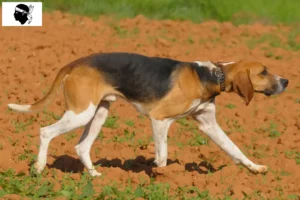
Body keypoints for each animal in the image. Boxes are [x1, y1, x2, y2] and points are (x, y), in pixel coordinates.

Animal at [7, 52, 288, 177]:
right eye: (263, 72)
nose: (285, 81)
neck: (211, 75)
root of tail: (75, 63)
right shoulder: (160, 118)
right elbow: (162, 156)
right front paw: (158, 174)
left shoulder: (209, 124)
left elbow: (235, 149)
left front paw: (255, 168)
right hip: (81, 113)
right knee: (45, 131)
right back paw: (39, 167)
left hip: (98, 113)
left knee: (81, 147)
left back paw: (95, 176)